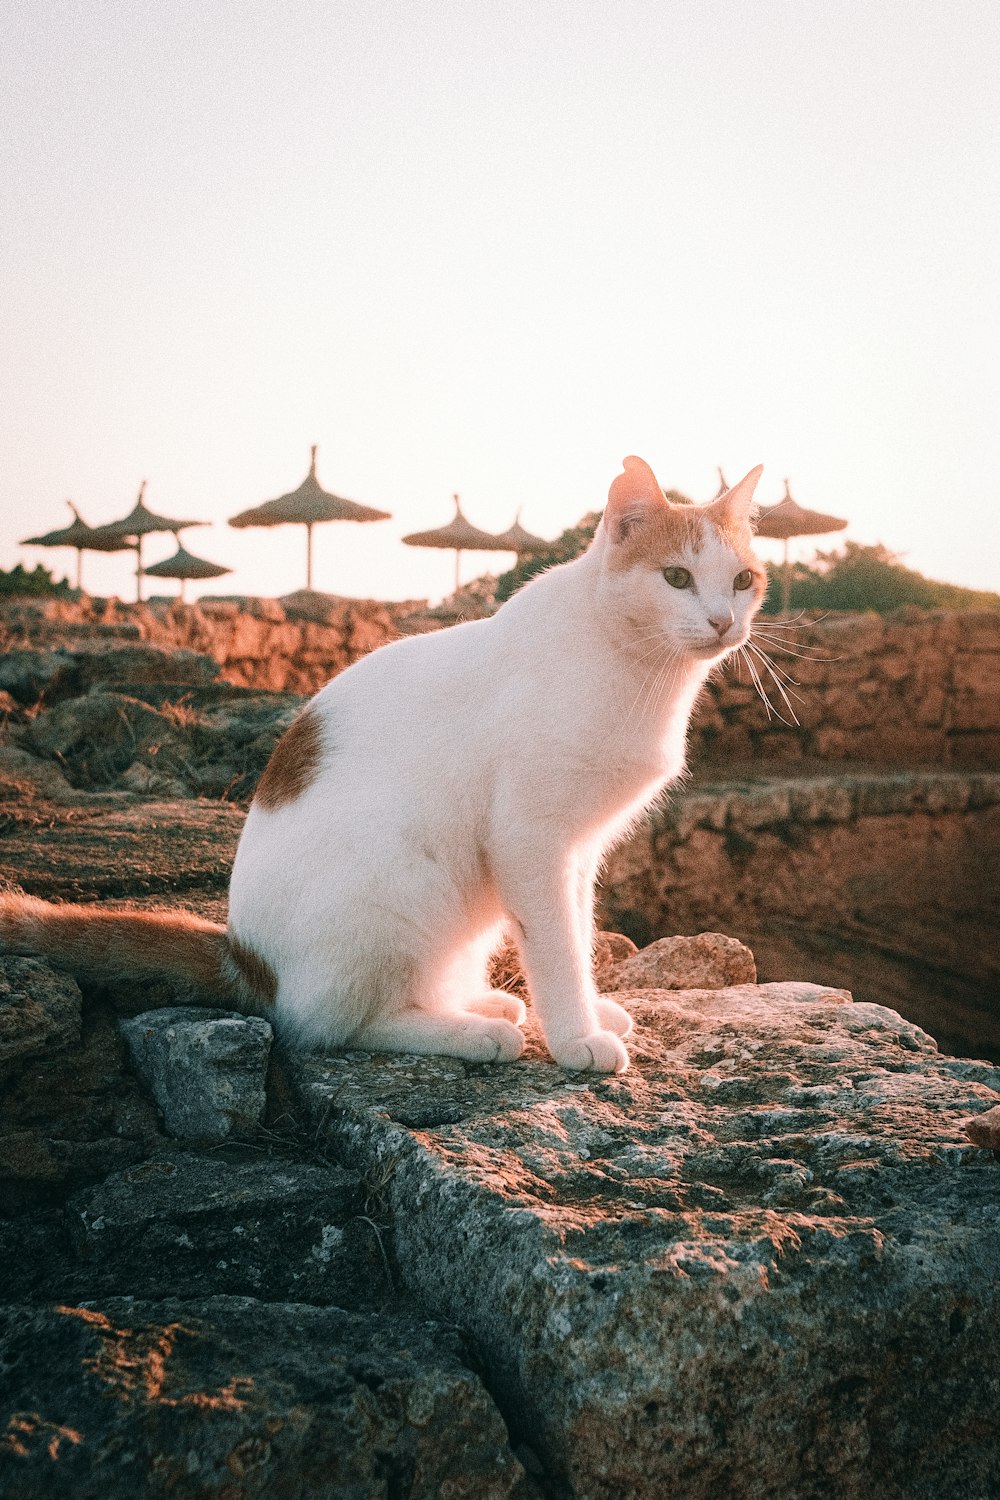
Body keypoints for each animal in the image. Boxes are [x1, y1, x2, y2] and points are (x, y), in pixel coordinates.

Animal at [0, 450, 767, 1074]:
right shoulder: (530, 838)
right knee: (330, 1027)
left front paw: (586, 1009)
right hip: (404, 878)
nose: (724, 622)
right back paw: (472, 1034)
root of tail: (246, 959)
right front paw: (576, 1036)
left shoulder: (578, 849)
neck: (636, 669)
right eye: (676, 577)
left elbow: (575, 935)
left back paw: (481, 1004)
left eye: (743, 580)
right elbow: (554, 945)